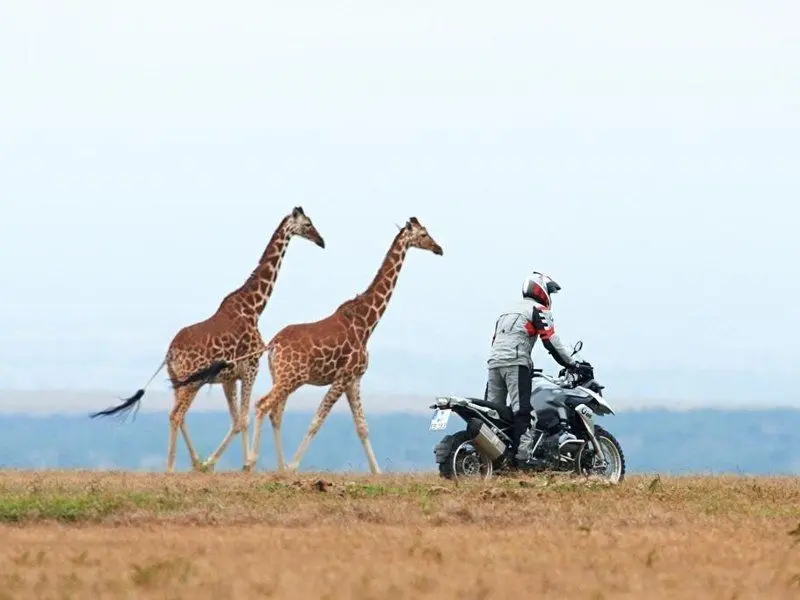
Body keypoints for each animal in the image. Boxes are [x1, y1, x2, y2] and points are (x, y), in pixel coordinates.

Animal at [89, 206, 324, 474]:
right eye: (307, 224)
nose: (321, 241)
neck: (254, 307)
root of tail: (169, 354)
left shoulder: (229, 378)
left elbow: (237, 420)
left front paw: (217, 463)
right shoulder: (251, 368)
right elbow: (243, 418)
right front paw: (244, 464)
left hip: (179, 382)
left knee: (178, 415)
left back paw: (194, 461)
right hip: (191, 382)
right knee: (176, 415)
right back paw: (171, 468)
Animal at [244, 216, 444, 474]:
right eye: (423, 235)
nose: (438, 249)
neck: (367, 322)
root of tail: (273, 345)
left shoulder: (354, 379)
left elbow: (362, 427)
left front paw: (377, 472)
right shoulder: (343, 376)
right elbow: (316, 420)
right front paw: (293, 466)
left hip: (281, 377)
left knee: (275, 412)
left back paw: (276, 466)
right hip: (291, 377)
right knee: (263, 405)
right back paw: (251, 463)